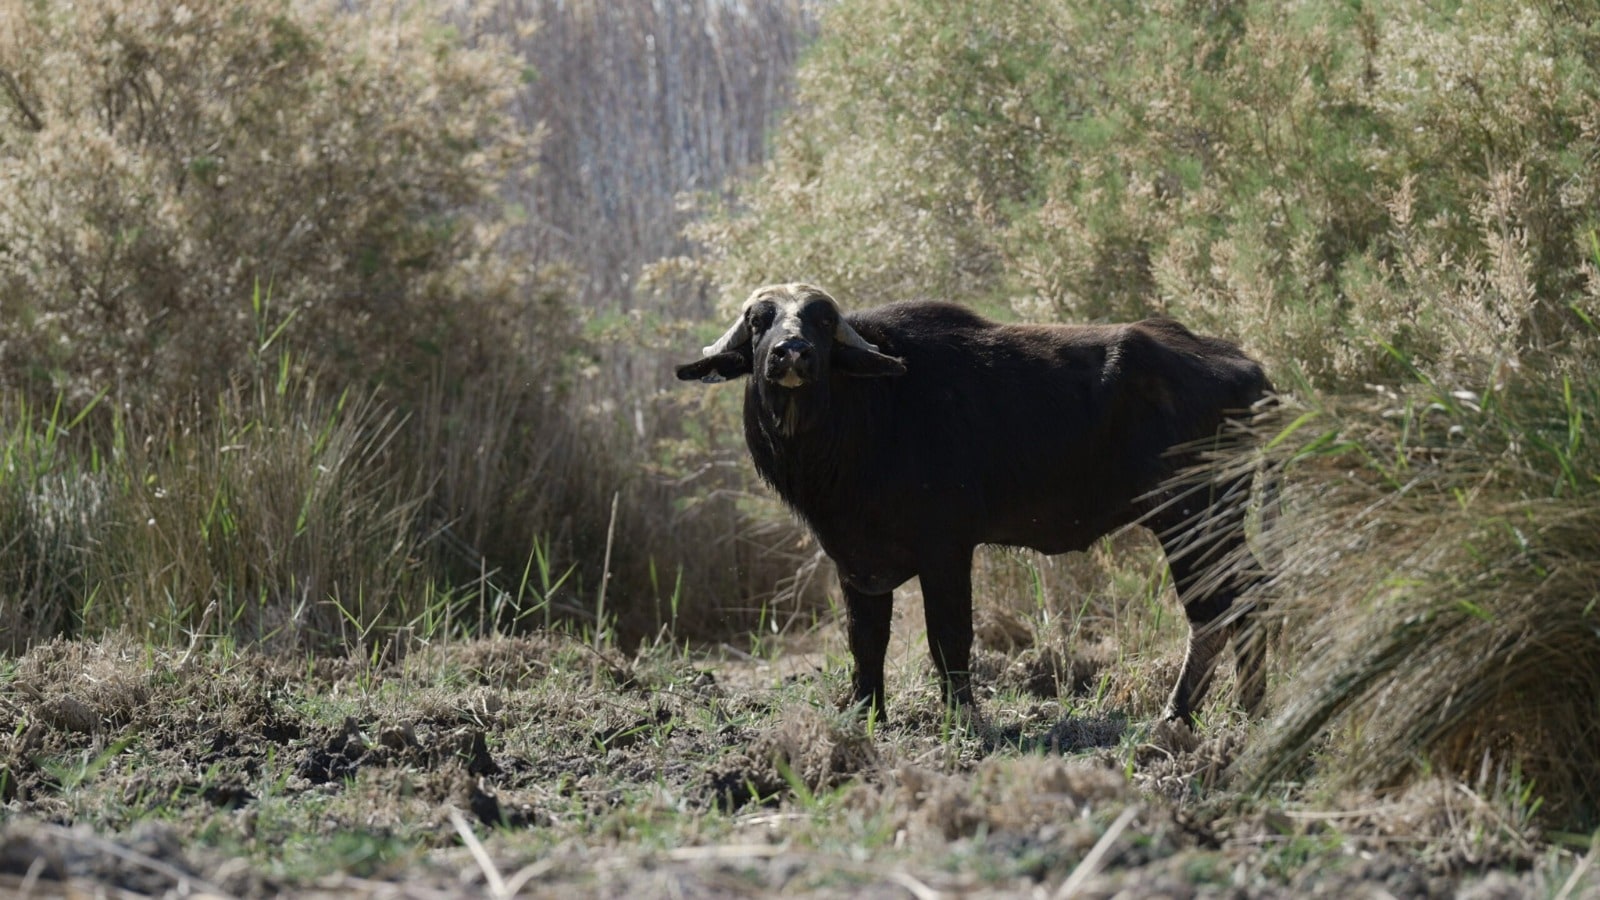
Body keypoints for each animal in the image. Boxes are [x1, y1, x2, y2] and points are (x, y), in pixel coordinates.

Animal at [677, 283, 1273, 725]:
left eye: (822, 322)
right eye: (760, 321)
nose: (791, 354)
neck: (869, 415)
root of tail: (1248, 371)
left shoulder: (946, 551)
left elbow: (949, 637)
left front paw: (962, 718)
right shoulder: (856, 562)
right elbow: (865, 641)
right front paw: (866, 716)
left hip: (1191, 518)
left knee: (1216, 608)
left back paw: (1178, 715)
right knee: (1252, 592)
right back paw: (1251, 708)